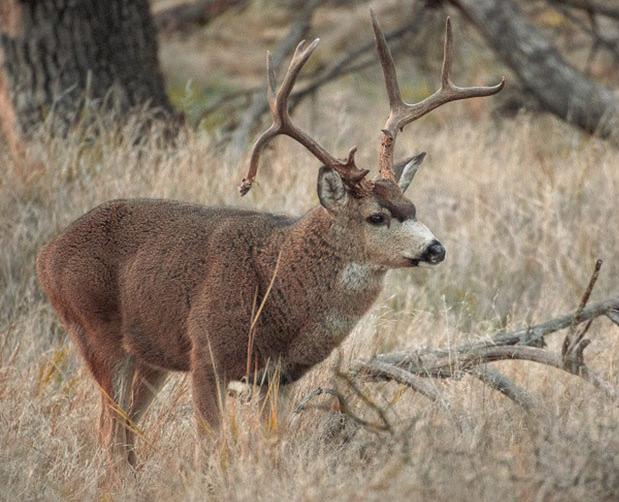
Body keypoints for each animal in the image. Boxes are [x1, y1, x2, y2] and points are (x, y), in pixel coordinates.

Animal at [36, 13, 504, 467]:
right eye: (376, 217)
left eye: (413, 207)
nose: (435, 248)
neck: (280, 285)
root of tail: (46, 255)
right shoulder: (207, 354)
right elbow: (211, 447)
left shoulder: (279, 376)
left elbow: (274, 445)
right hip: (94, 329)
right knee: (110, 434)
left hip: (151, 355)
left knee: (125, 431)